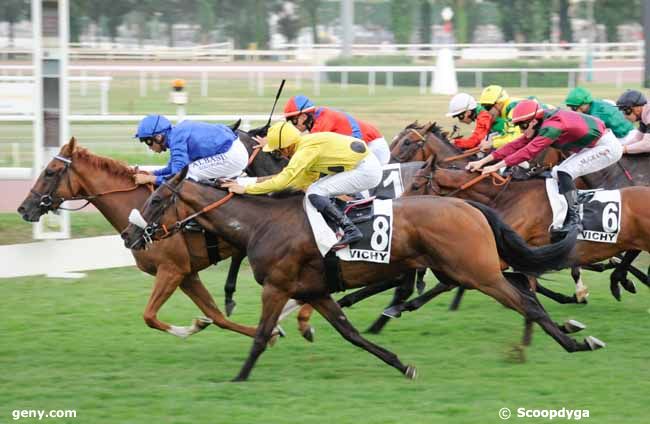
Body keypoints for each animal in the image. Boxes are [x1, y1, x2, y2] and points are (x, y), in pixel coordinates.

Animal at [120, 167, 604, 382]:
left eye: (157, 200)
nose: (129, 234)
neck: (263, 224)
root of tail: (469, 205)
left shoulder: (278, 286)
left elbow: (259, 336)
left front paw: (239, 377)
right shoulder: (314, 290)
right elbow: (351, 333)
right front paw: (401, 363)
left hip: (476, 271)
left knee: (524, 299)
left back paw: (574, 343)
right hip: (469, 268)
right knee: (526, 288)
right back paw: (566, 331)